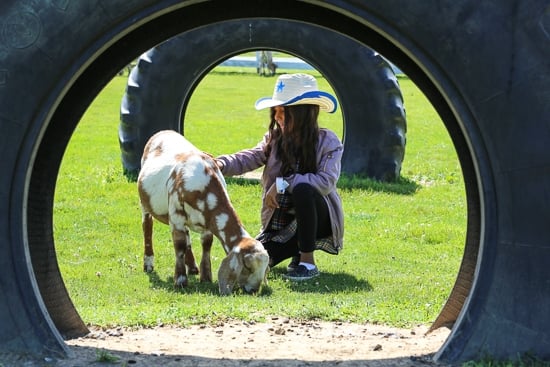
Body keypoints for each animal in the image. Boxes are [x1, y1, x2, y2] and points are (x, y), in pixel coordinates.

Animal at [139, 131, 270, 294]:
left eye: (264, 269)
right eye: (247, 266)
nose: (252, 290)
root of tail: (163, 132)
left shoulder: (208, 220)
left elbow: (206, 243)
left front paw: (206, 276)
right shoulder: (176, 215)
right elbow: (179, 245)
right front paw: (180, 280)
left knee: (187, 235)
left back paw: (192, 267)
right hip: (145, 204)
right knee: (147, 226)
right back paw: (148, 263)